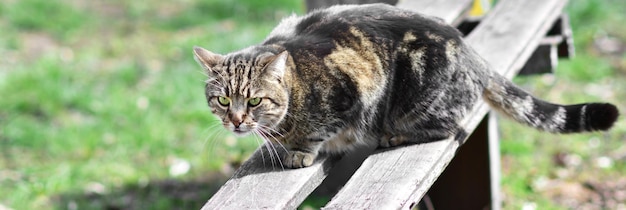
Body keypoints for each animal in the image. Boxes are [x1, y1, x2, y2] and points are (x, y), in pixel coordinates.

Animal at [193, 3, 616, 169]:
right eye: (223, 100)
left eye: (254, 101)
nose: (235, 121)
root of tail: (467, 47)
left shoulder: (353, 92)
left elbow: (317, 130)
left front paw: (299, 150)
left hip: (416, 99)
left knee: (452, 129)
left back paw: (393, 136)